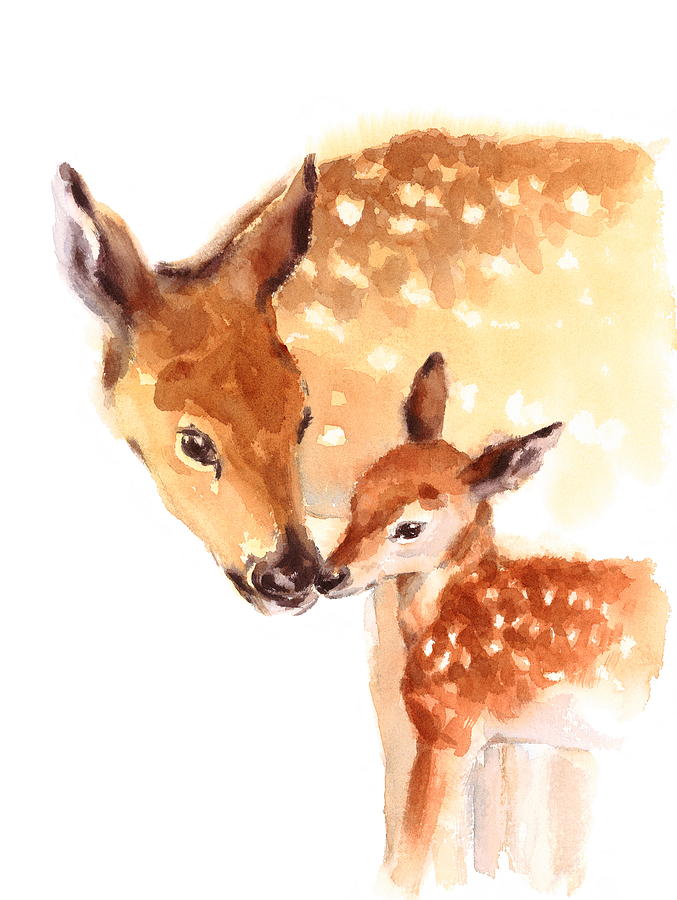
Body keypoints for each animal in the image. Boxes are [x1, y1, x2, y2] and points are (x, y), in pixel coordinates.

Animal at [316, 352, 668, 894]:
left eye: (410, 527)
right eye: (358, 497)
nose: (328, 576)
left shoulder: (450, 725)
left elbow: (412, 851)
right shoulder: (497, 741)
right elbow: (465, 849)